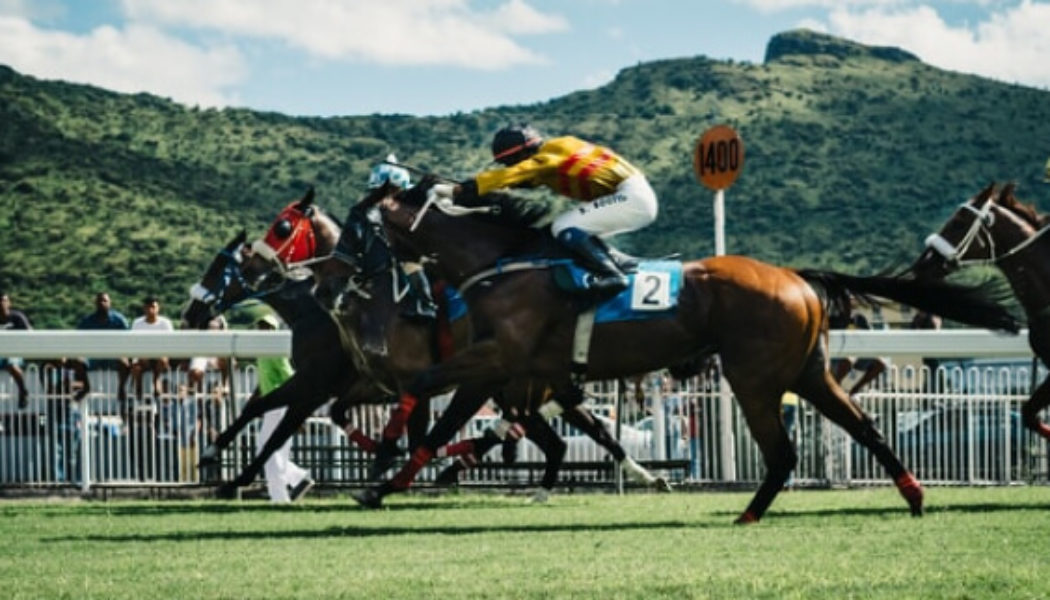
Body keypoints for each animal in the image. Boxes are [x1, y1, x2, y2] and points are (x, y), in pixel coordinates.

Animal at [237, 187, 672, 494]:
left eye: (282, 227)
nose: (251, 266)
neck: (376, 300)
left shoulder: (380, 380)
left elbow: (414, 433)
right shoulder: (372, 383)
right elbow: (341, 415)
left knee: (567, 433)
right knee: (575, 433)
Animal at [352, 179, 1021, 521]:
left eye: (360, 229)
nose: (351, 277)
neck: (503, 262)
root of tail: (797, 278)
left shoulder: (497, 362)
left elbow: (428, 399)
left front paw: (380, 468)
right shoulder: (514, 374)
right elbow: (452, 421)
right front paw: (385, 480)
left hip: (754, 378)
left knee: (784, 452)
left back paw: (750, 513)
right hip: (808, 373)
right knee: (864, 427)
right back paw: (912, 495)